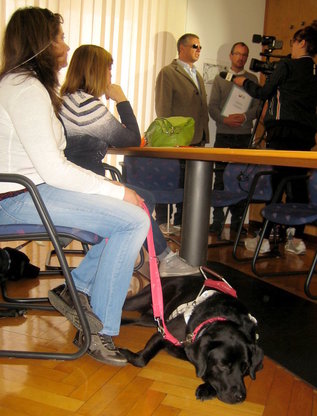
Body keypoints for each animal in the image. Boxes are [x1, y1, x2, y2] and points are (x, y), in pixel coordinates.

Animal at [121, 274, 262, 404]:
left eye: (245, 367)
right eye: (222, 365)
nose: (241, 397)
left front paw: (206, 389)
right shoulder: (163, 335)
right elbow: (142, 359)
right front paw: (124, 353)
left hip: (153, 319)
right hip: (140, 300)